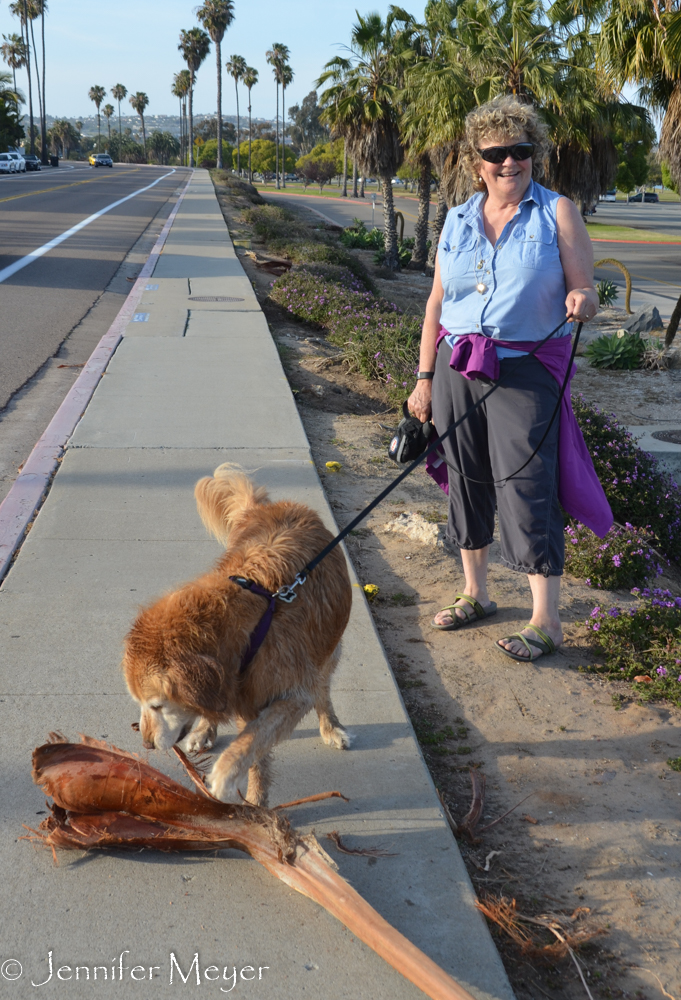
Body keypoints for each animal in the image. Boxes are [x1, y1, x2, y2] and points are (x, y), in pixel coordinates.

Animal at [122, 464, 354, 808]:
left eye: (157, 705)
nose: (147, 744)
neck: (251, 627)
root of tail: (272, 506)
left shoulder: (292, 694)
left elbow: (253, 740)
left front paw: (228, 778)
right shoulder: (244, 697)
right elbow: (255, 750)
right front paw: (257, 802)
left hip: (329, 646)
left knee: (322, 688)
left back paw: (331, 727)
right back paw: (204, 730)